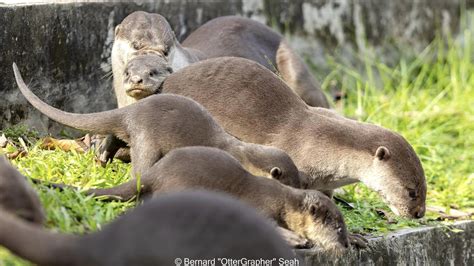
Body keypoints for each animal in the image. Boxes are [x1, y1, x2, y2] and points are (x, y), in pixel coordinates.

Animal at [14, 62, 306, 189]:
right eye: (293, 184)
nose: (302, 189)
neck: (241, 153)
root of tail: (132, 110)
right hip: (147, 138)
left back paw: (103, 158)